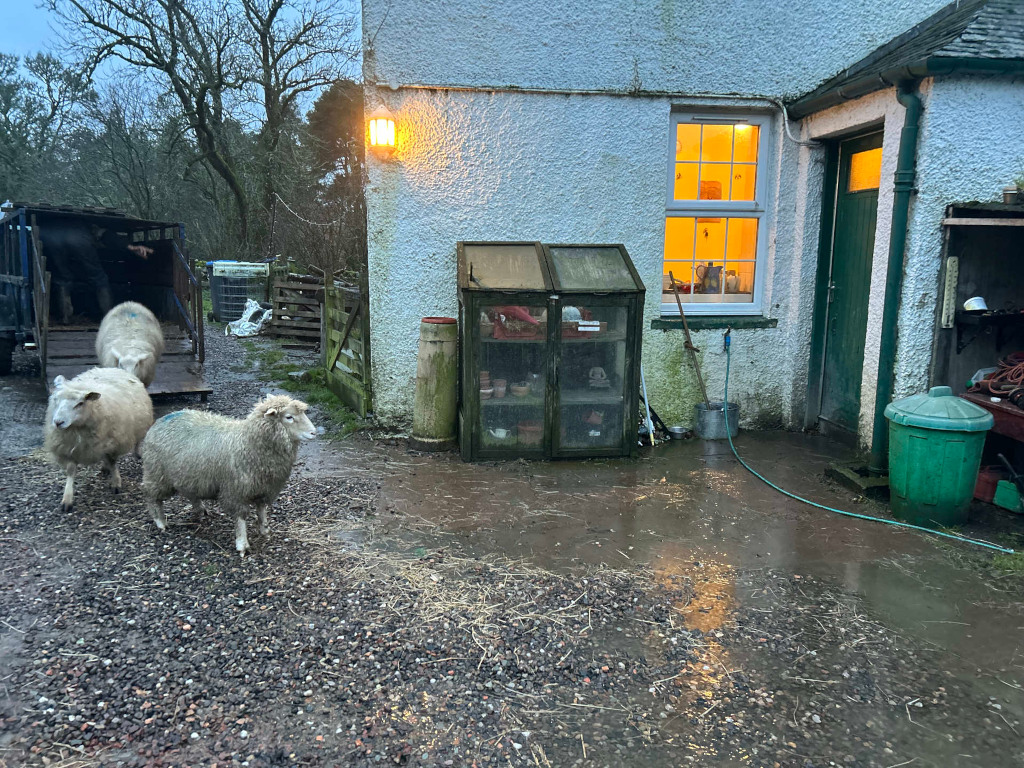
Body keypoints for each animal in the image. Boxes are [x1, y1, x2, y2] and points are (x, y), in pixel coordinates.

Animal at [44, 367, 154, 513]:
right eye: (55, 399)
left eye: (80, 403)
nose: (58, 422)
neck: (77, 429)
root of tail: (111, 368)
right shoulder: (69, 448)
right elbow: (71, 471)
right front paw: (67, 499)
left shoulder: (113, 443)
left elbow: (113, 462)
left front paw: (116, 483)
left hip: (138, 426)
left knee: (137, 440)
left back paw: (136, 453)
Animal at [141, 395, 316, 555]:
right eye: (289, 417)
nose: (314, 432)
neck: (248, 443)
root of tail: (161, 420)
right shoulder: (236, 491)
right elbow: (240, 518)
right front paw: (242, 544)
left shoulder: (263, 488)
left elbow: (261, 510)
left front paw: (265, 530)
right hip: (157, 473)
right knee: (151, 496)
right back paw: (160, 522)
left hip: (188, 474)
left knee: (189, 492)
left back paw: (200, 509)